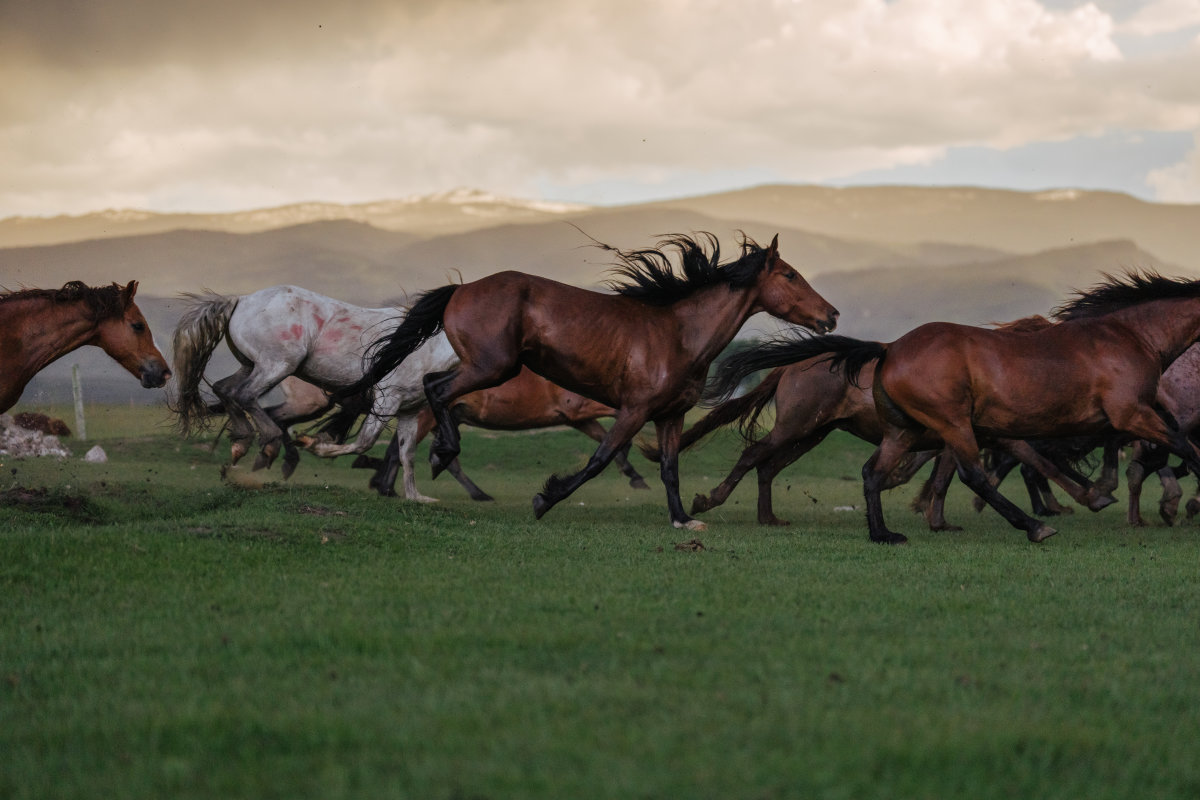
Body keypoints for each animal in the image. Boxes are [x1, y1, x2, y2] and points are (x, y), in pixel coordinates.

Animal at [170, 284, 458, 502]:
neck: (427, 346)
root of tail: (241, 300)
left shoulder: (409, 410)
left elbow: (407, 454)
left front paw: (416, 497)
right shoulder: (387, 399)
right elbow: (364, 442)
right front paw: (316, 445)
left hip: (252, 365)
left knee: (225, 389)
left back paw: (242, 443)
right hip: (277, 365)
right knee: (245, 395)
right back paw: (269, 443)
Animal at [346, 232, 839, 529]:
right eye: (790, 275)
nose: (831, 315)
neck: (679, 335)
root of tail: (462, 289)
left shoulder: (670, 415)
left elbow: (670, 468)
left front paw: (684, 518)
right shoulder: (634, 410)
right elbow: (602, 458)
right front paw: (545, 500)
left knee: (435, 391)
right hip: (492, 366)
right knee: (436, 388)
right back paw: (442, 454)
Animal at [714, 272, 1200, 544]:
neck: (1132, 335)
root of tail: (889, 348)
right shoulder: (1131, 414)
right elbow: (1186, 450)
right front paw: (1172, 504)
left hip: (904, 431)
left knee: (873, 473)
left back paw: (883, 534)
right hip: (945, 423)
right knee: (972, 474)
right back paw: (1034, 526)